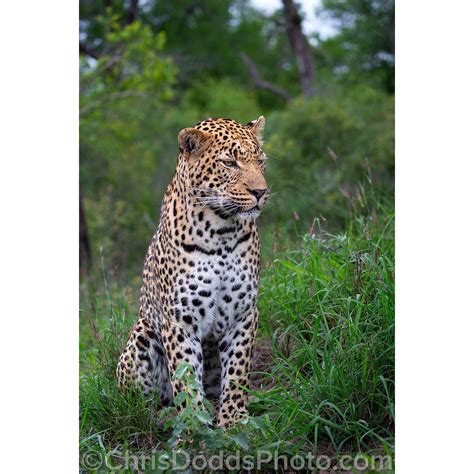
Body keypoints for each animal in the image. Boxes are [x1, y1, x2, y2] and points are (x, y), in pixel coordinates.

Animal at [116, 115, 268, 426]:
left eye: (260, 161)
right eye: (230, 163)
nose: (260, 192)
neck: (222, 232)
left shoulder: (244, 313)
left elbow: (238, 372)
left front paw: (233, 420)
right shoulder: (180, 320)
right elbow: (185, 376)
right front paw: (194, 423)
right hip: (141, 336)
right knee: (137, 404)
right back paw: (163, 416)